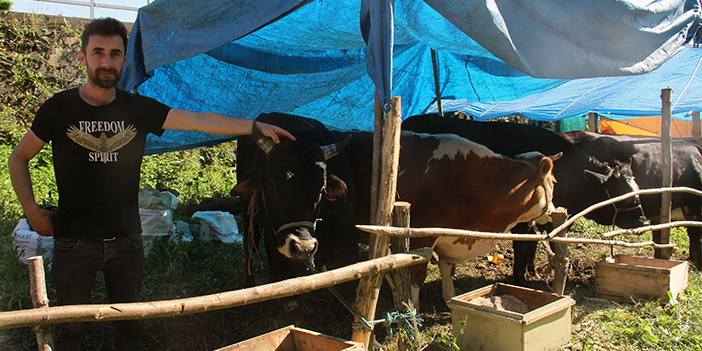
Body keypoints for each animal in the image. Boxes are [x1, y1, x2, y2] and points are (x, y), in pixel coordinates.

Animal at [342, 131, 560, 306]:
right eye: (554, 181)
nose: (553, 211)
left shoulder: (450, 235)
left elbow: (448, 269)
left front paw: (450, 299)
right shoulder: (419, 237)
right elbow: (417, 276)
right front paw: (413, 311)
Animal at [402, 115, 648, 286]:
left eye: (636, 189)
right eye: (621, 193)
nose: (643, 221)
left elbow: (536, 244)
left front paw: (534, 270)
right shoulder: (524, 221)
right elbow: (524, 247)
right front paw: (522, 278)